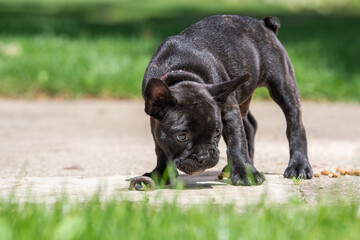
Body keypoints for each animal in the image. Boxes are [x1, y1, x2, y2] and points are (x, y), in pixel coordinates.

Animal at [141, 15, 312, 186]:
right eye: (181, 136)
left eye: (217, 133)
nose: (204, 157)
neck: (182, 74)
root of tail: (262, 24)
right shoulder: (155, 121)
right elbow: (160, 147)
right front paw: (161, 173)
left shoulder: (229, 109)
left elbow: (236, 141)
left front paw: (244, 171)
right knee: (250, 125)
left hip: (282, 84)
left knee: (294, 123)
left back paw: (299, 165)